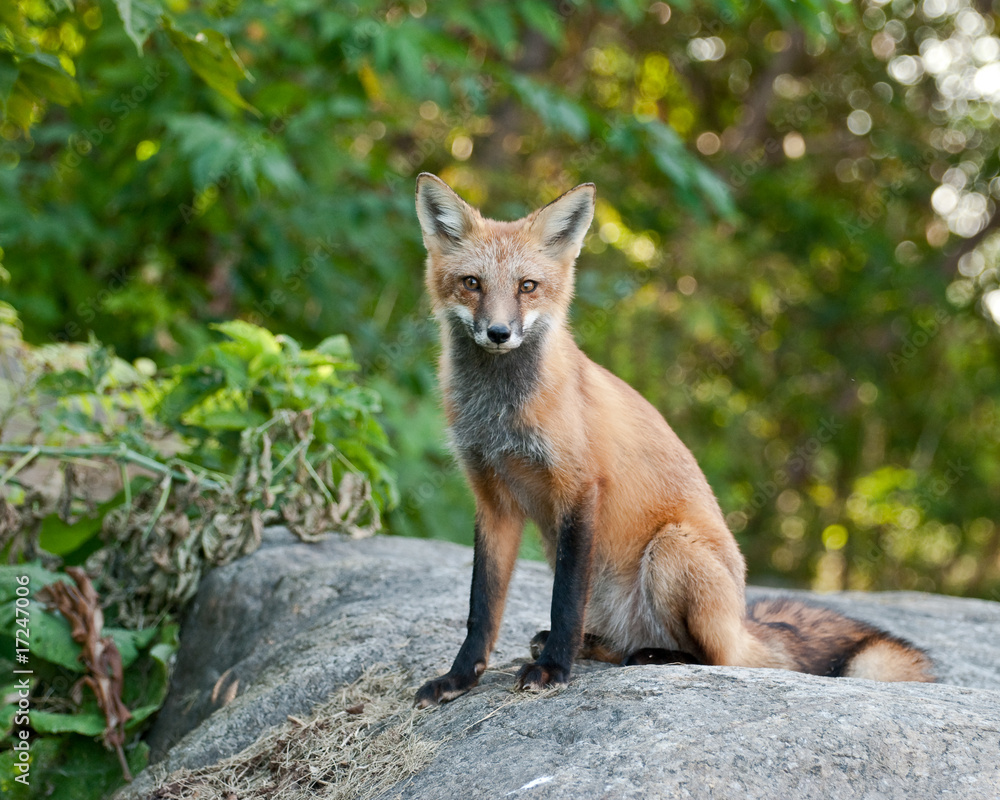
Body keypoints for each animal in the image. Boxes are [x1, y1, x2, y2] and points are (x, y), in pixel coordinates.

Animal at [412, 173, 934, 707]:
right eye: (472, 283)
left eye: (527, 286)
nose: (498, 333)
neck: (500, 415)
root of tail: (741, 620)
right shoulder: (493, 499)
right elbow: (481, 609)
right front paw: (459, 678)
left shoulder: (580, 488)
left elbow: (564, 603)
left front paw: (553, 670)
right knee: (615, 642)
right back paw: (601, 646)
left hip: (670, 549)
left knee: (715, 658)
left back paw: (649, 656)